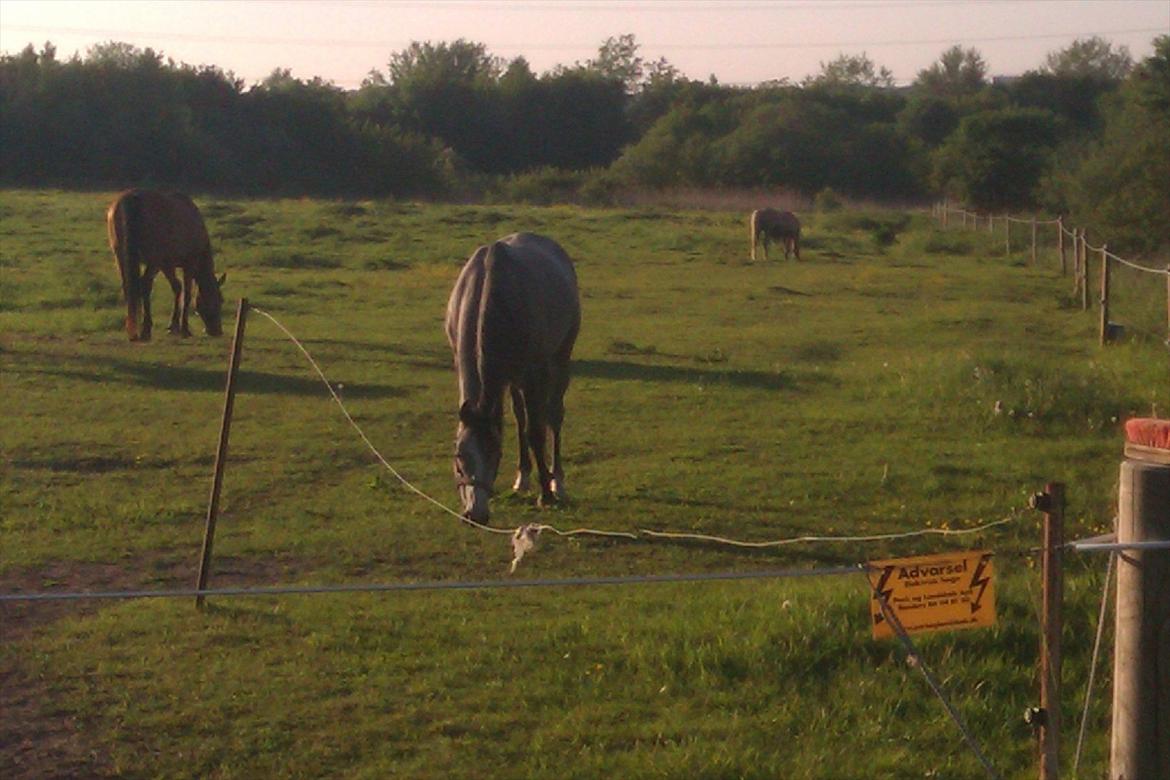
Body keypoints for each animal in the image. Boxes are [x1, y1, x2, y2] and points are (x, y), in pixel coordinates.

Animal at [106, 189, 224, 341]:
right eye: (220, 300)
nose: (217, 331)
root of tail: (131, 198)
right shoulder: (188, 264)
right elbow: (187, 294)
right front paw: (184, 329)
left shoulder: (166, 265)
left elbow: (177, 287)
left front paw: (173, 326)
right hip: (152, 260)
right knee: (145, 285)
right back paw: (145, 329)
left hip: (120, 256)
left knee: (129, 287)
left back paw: (134, 331)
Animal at [442, 231, 580, 523]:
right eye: (459, 457)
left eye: (495, 455)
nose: (475, 514)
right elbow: (520, 424)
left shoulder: (534, 374)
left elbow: (537, 432)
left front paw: (546, 494)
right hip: (514, 379)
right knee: (520, 418)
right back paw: (523, 476)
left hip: (559, 358)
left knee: (553, 416)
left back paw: (557, 481)